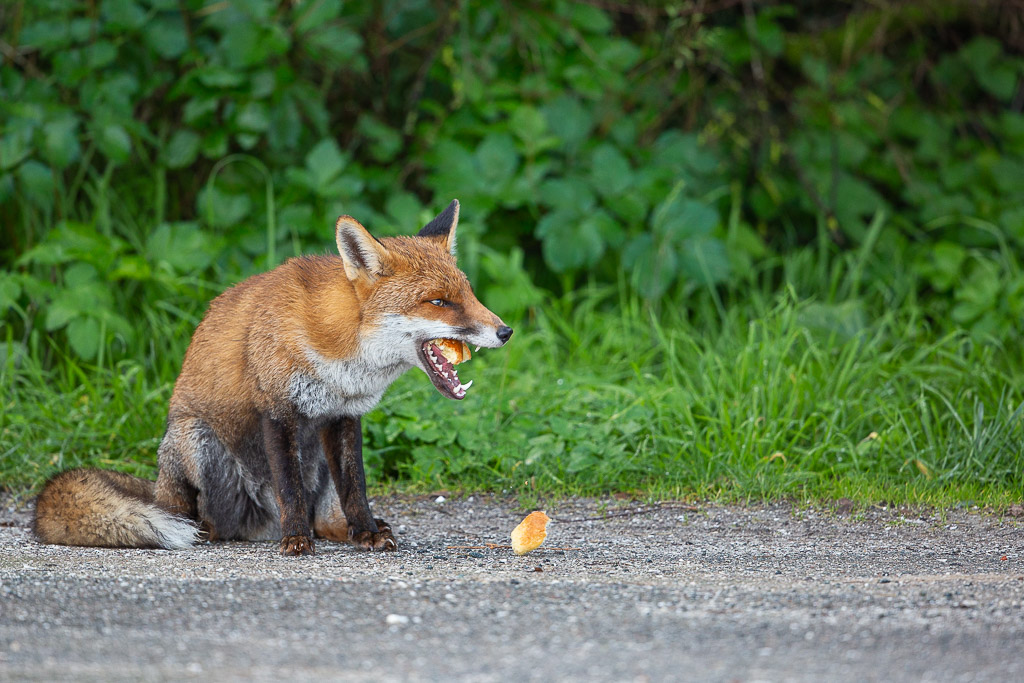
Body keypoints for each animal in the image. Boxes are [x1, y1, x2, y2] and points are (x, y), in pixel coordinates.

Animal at [33, 200, 512, 556]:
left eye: (468, 293)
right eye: (439, 301)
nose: (505, 332)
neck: (342, 360)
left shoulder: (344, 416)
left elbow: (356, 489)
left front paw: (366, 532)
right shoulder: (278, 411)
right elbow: (290, 488)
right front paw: (296, 540)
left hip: (317, 459)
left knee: (327, 517)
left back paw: (346, 530)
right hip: (194, 440)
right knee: (197, 516)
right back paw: (213, 529)